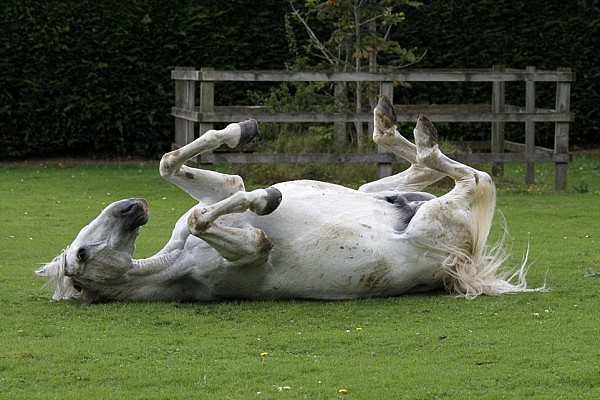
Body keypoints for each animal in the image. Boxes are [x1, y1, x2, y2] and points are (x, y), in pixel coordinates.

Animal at [37, 97, 544, 302]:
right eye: (81, 255)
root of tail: (463, 264)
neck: (173, 263)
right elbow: (220, 218)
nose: (133, 207)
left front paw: (240, 132)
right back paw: (417, 136)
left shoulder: (221, 190)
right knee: (473, 177)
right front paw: (266, 196)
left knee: (415, 174)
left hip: (389, 196)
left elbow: (175, 168)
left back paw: (392, 126)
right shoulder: (252, 249)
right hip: (435, 220)